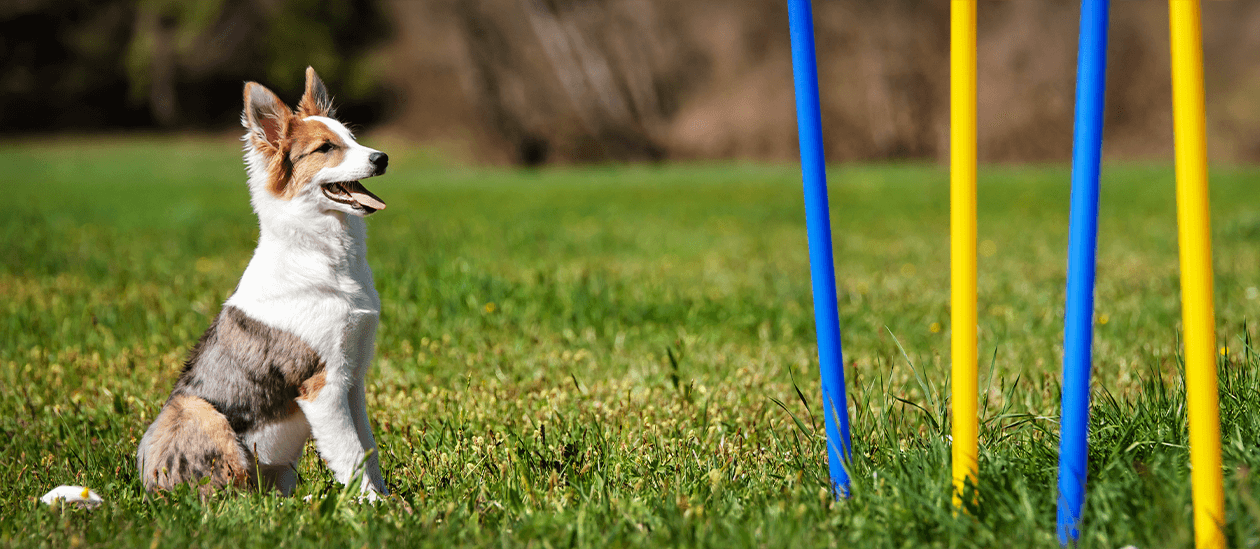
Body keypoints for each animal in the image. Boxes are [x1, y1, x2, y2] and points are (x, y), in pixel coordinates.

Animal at [135, 66, 390, 498]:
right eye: (325, 148)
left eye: (352, 138)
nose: (382, 157)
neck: (325, 256)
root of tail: (149, 488)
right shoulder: (322, 386)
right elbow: (351, 455)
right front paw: (374, 508)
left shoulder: (353, 378)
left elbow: (367, 450)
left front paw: (391, 501)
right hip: (196, 410)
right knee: (232, 497)